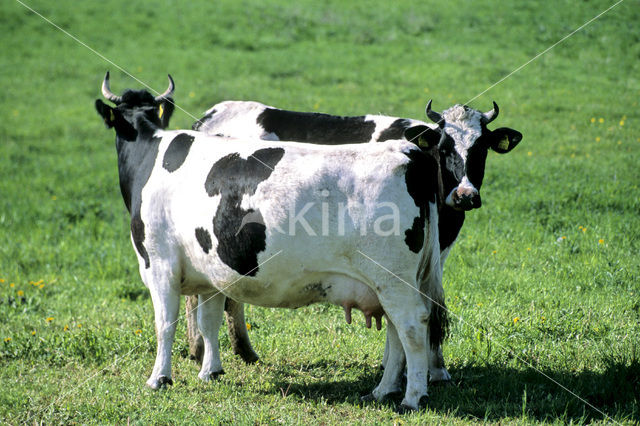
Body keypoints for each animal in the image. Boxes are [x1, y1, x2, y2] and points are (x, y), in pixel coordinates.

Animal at [97, 75, 452, 412]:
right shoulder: (210, 273)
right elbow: (208, 321)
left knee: (411, 325)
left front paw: (159, 378)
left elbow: (164, 325)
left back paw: (412, 397)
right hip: (389, 283)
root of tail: (408, 151)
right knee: (396, 329)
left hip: (393, 279)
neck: (152, 156)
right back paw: (382, 390)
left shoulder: (158, 264)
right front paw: (210, 371)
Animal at [188, 100, 524, 382]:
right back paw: (199, 350)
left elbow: (429, 304)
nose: (465, 195)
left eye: (481, 148)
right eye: (444, 148)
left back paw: (240, 351)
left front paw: (434, 369)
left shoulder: (435, 255)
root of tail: (211, 114)